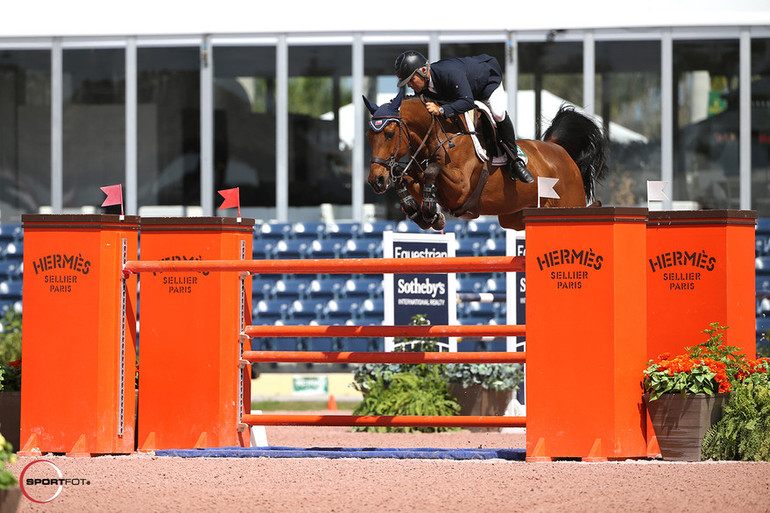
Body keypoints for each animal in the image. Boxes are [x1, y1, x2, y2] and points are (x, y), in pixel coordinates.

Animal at [364, 92, 608, 230]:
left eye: (389, 134)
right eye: (368, 136)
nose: (376, 180)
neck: (439, 136)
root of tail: (560, 150)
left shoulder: (460, 189)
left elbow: (432, 170)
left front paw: (430, 212)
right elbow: (407, 178)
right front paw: (424, 214)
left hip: (569, 203)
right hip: (514, 217)